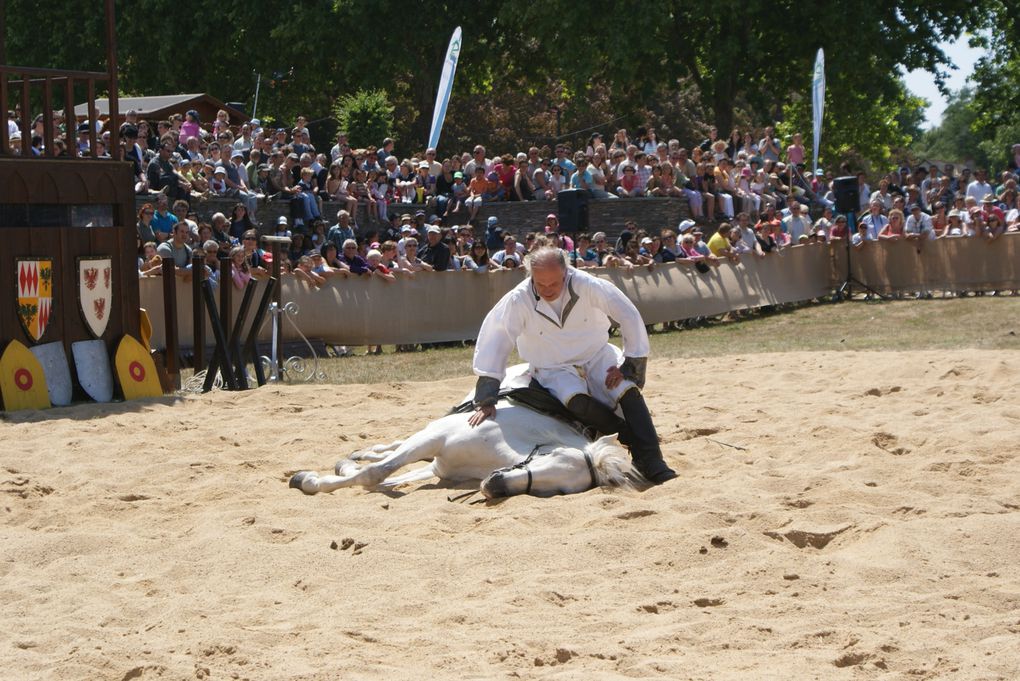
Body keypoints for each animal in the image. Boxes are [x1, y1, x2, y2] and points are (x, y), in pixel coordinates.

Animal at [287, 375, 640, 497]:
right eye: (550, 455)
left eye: (560, 491)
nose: (496, 485)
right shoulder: (434, 439)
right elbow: (376, 473)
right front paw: (308, 480)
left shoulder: (439, 467)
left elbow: (382, 479)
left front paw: (338, 471)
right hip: (435, 428)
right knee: (395, 445)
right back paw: (364, 452)